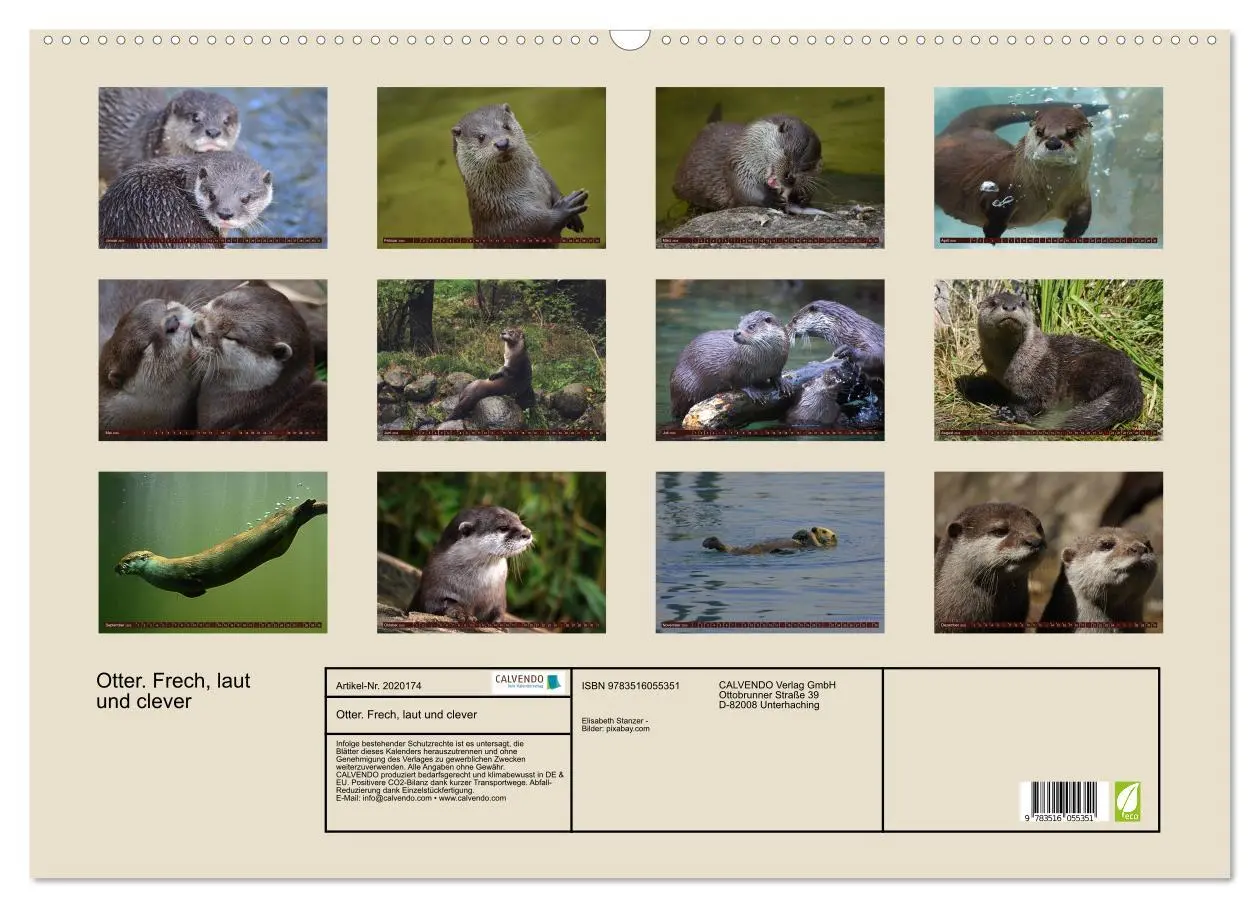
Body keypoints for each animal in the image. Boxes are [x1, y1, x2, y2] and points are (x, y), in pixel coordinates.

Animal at [115, 499, 327, 598]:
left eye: (127, 560)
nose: (116, 567)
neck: (161, 571)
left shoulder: (182, 572)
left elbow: (193, 577)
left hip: (278, 523)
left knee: (290, 514)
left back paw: (305, 506)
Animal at [450, 103, 588, 248]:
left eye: (506, 126)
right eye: (481, 137)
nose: (502, 143)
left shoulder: (544, 176)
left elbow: (554, 188)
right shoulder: (506, 215)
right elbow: (538, 226)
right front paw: (566, 207)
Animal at [673, 109, 825, 214]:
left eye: (807, 167)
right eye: (786, 153)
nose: (790, 178)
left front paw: (803, 197)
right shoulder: (738, 164)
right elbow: (745, 190)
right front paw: (771, 199)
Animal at [935, 102, 1107, 239]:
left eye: (1071, 132)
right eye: (1039, 131)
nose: (1052, 143)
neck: (1049, 193)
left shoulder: (1080, 192)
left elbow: (1084, 210)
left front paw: (1073, 232)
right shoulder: (1002, 188)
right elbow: (996, 210)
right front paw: (993, 231)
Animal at [975, 291, 1144, 430]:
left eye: (1022, 303)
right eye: (993, 303)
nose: (1010, 306)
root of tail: (1131, 378)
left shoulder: (1041, 378)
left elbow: (1034, 401)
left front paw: (1010, 411)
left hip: (1088, 367)